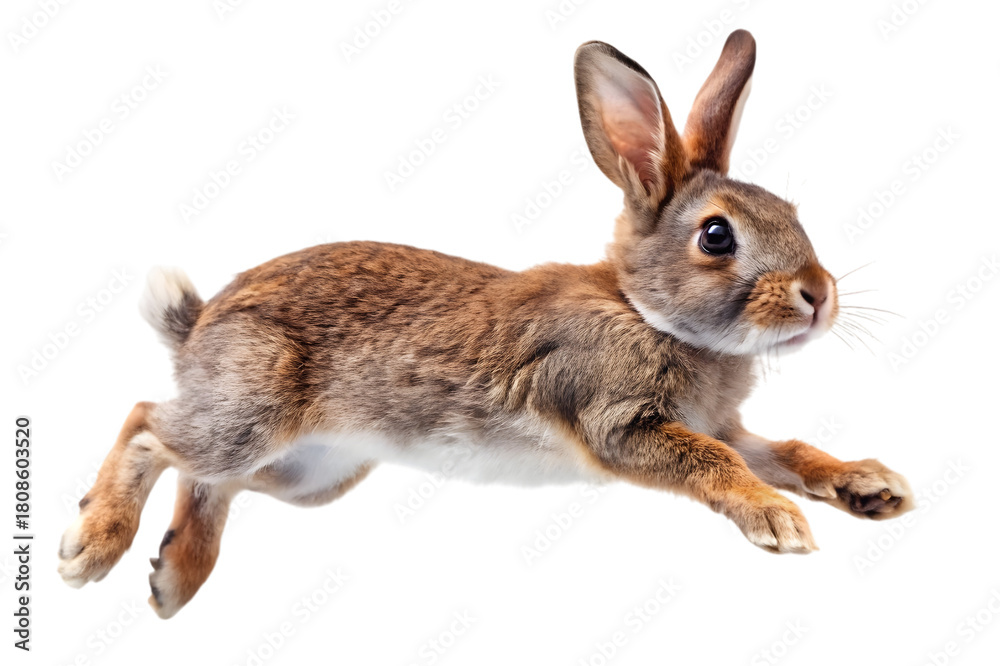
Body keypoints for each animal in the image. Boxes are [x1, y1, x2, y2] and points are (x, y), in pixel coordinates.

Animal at [58, 29, 912, 619]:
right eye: (716, 236)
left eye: (793, 213)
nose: (819, 295)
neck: (648, 313)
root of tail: (199, 327)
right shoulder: (616, 420)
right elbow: (715, 463)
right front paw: (777, 519)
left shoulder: (720, 423)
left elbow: (782, 450)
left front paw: (870, 487)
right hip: (251, 413)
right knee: (150, 425)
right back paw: (93, 547)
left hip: (312, 476)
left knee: (210, 477)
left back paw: (174, 577)